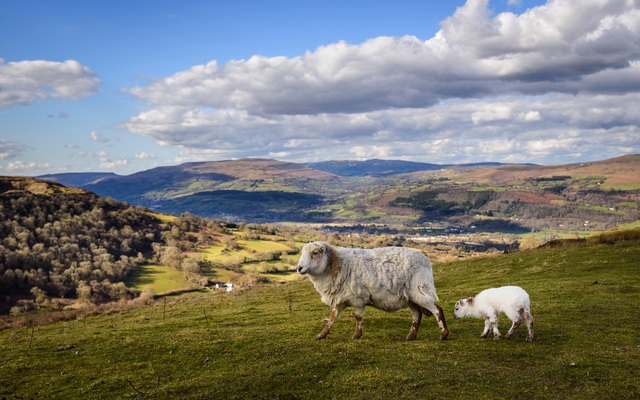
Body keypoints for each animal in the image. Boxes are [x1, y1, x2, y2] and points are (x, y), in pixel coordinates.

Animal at [296, 241, 449, 341]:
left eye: (315, 253)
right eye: (301, 253)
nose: (299, 268)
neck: (337, 265)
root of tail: (426, 260)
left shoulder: (357, 299)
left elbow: (358, 317)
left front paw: (356, 335)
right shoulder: (340, 298)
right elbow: (333, 316)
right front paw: (322, 334)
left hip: (420, 290)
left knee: (437, 309)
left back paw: (444, 334)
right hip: (411, 297)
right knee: (417, 314)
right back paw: (411, 336)